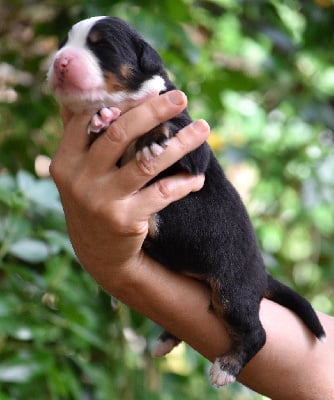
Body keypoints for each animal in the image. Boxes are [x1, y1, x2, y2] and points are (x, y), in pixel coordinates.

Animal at [47, 16, 326, 388]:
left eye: (102, 46)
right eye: (64, 43)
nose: (60, 62)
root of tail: (261, 274)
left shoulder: (194, 148)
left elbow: (169, 127)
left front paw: (146, 139)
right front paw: (102, 119)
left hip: (232, 290)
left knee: (257, 333)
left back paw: (225, 369)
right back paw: (165, 341)